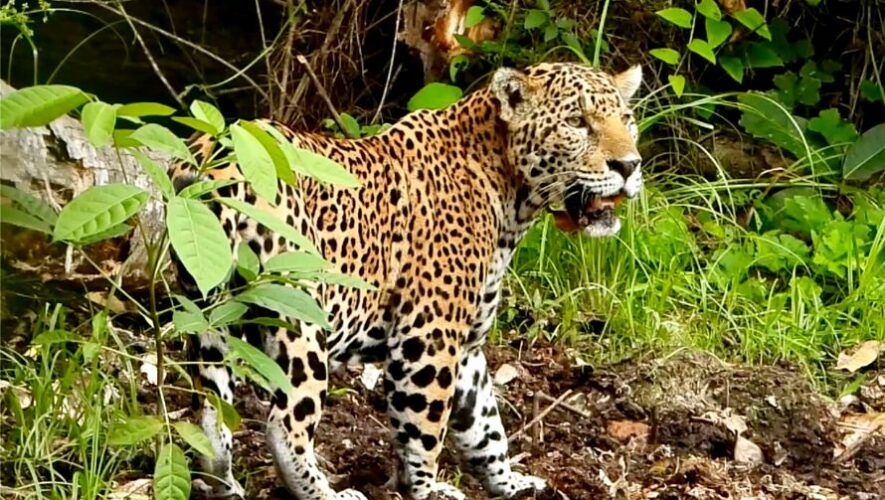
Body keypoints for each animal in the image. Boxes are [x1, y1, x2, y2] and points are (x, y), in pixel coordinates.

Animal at [170, 62, 643, 500]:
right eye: (577, 122)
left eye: (627, 119)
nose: (629, 165)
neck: (509, 194)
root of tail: (214, 158)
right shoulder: (429, 334)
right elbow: (425, 428)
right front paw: (428, 490)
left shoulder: (467, 346)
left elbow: (485, 426)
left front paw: (509, 483)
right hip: (298, 311)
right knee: (284, 424)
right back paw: (327, 492)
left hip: (209, 315)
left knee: (209, 412)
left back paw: (224, 484)